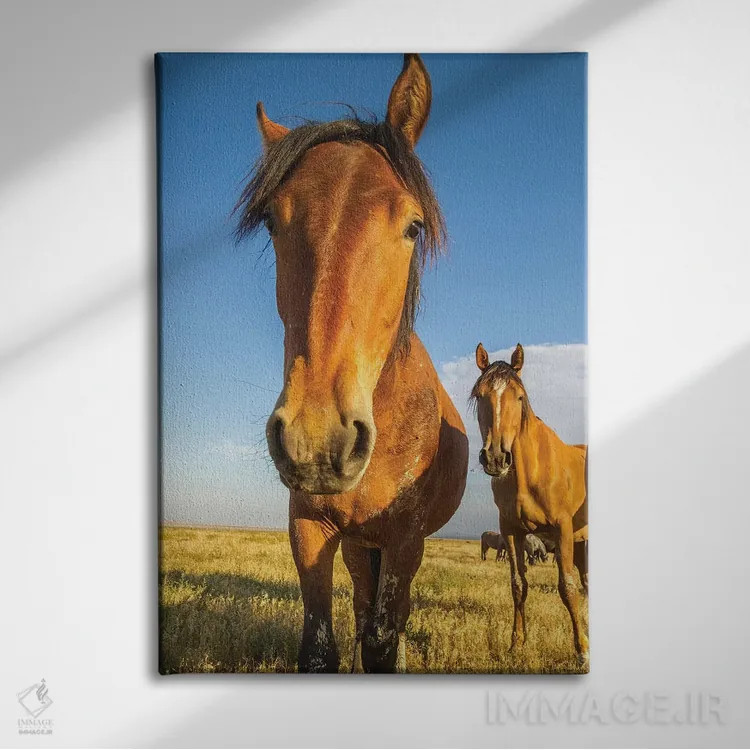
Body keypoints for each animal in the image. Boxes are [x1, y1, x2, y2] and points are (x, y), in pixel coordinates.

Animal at [236, 54, 469, 673]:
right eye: (272, 221)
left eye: (413, 225)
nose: (318, 441)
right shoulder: (309, 527)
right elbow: (321, 649)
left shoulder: (405, 540)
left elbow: (384, 642)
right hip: (360, 548)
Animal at [471, 342, 588, 666]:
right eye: (480, 396)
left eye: (519, 397)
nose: (496, 458)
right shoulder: (511, 531)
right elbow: (518, 585)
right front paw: (516, 644)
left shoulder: (562, 528)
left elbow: (567, 587)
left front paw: (582, 650)